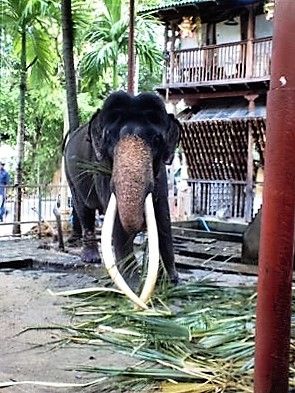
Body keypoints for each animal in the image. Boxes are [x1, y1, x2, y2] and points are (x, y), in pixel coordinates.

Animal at [63, 90, 182, 308]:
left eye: (156, 139)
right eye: (110, 137)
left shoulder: (160, 172)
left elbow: (162, 216)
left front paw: (171, 280)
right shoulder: (102, 167)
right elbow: (118, 222)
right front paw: (133, 284)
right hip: (70, 175)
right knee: (83, 209)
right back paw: (91, 259)